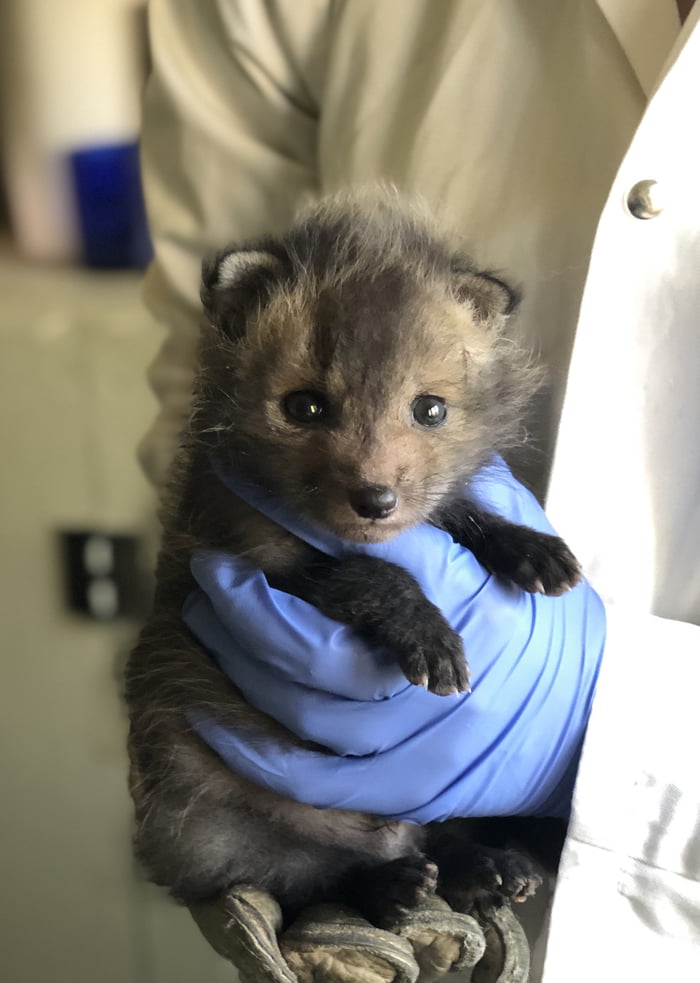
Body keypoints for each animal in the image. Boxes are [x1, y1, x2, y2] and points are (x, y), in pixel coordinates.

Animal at [127, 190, 580, 932]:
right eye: (304, 406)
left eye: (431, 409)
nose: (375, 499)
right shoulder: (234, 563)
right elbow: (367, 573)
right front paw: (429, 635)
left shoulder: (429, 513)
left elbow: (464, 514)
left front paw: (533, 549)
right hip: (212, 831)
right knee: (311, 878)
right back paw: (392, 886)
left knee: (442, 832)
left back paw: (488, 868)